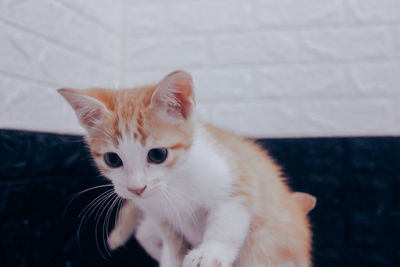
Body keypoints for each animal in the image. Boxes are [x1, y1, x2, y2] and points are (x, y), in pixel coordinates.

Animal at [59, 70, 316, 267]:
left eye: (157, 154)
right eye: (112, 159)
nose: (136, 189)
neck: (174, 183)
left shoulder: (236, 181)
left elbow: (227, 221)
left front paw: (210, 252)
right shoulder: (158, 214)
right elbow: (172, 242)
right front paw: (172, 259)